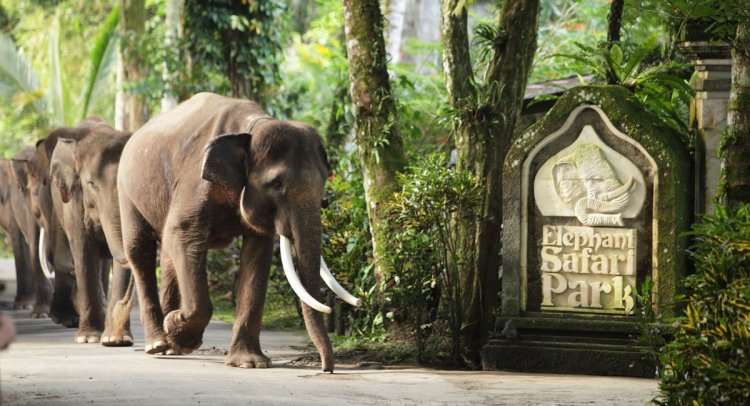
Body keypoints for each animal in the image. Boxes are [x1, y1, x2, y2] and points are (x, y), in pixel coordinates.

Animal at [117, 92, 362, 372]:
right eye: (277, 184)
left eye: (324, 182)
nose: (326, 368)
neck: (253, 127)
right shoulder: (195, 180)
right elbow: (183, 233)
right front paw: (178, 329)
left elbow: (257, 252)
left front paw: (249, 363)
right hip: (126, 190)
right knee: (141, 251)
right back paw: (158, 343)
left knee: (168, 256)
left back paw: (171, 346)